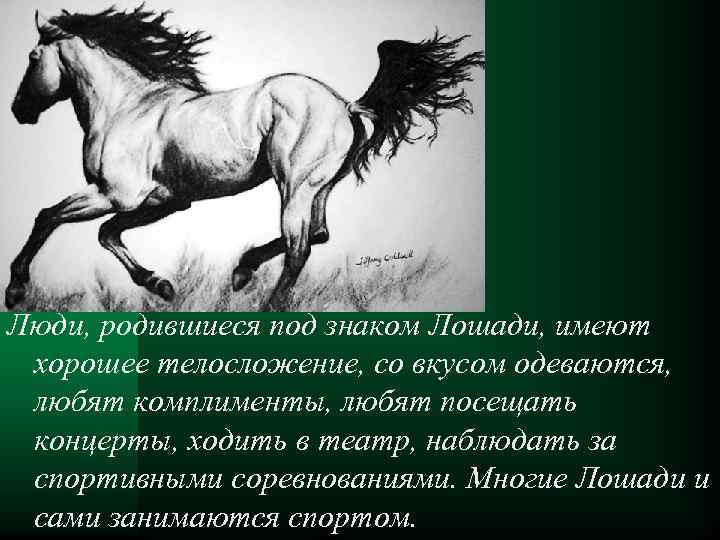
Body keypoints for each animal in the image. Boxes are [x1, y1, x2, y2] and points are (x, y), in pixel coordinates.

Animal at [7, 5, 484, 311]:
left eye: (32, 57)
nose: (18, 112)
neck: (128, 106)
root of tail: (345, 105)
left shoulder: (115, 194)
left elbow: (49, 216)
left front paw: (15, 290)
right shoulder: (165, 201)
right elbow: (108, 234)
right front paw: (161, 285)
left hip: (293, 186)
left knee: (299, 247)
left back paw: (267, 308)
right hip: (318, 188)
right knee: (319, 234)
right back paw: (241, 271)